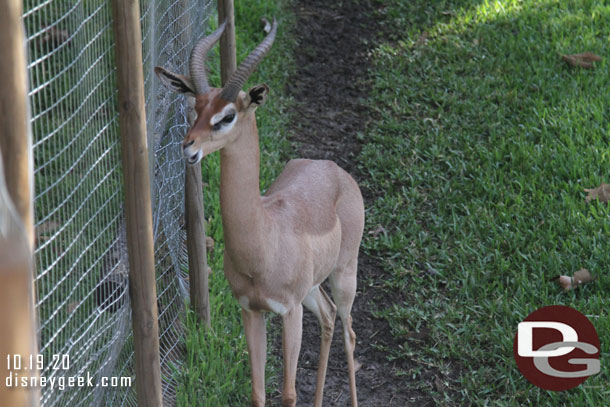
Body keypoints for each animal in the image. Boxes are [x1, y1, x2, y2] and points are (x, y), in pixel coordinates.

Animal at [154, 19, 360, 407]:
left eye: (227, 116)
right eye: (196, 106)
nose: (188, 146)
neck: (263, 242)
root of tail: (332, 168)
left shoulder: (289, 311)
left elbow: (289, 394)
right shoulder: (251, 310)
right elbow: (257, 392)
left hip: (344, 274)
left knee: (348, 331)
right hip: (313, 290)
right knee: (328, 318)